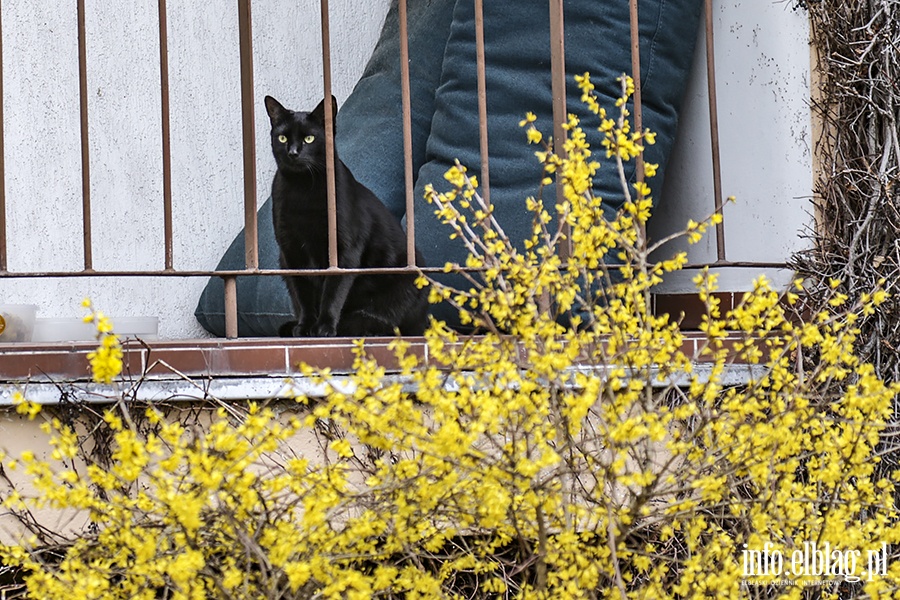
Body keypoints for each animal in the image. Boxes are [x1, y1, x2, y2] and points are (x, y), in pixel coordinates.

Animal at [264, 95, 428, 338]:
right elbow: (303, 294)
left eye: (310, 138)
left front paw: (324, 327)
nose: (293, 152)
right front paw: (305, 326)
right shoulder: (290, 250)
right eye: (282, 137)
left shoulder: (345, 250)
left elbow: (333, 291)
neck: (303, 189)